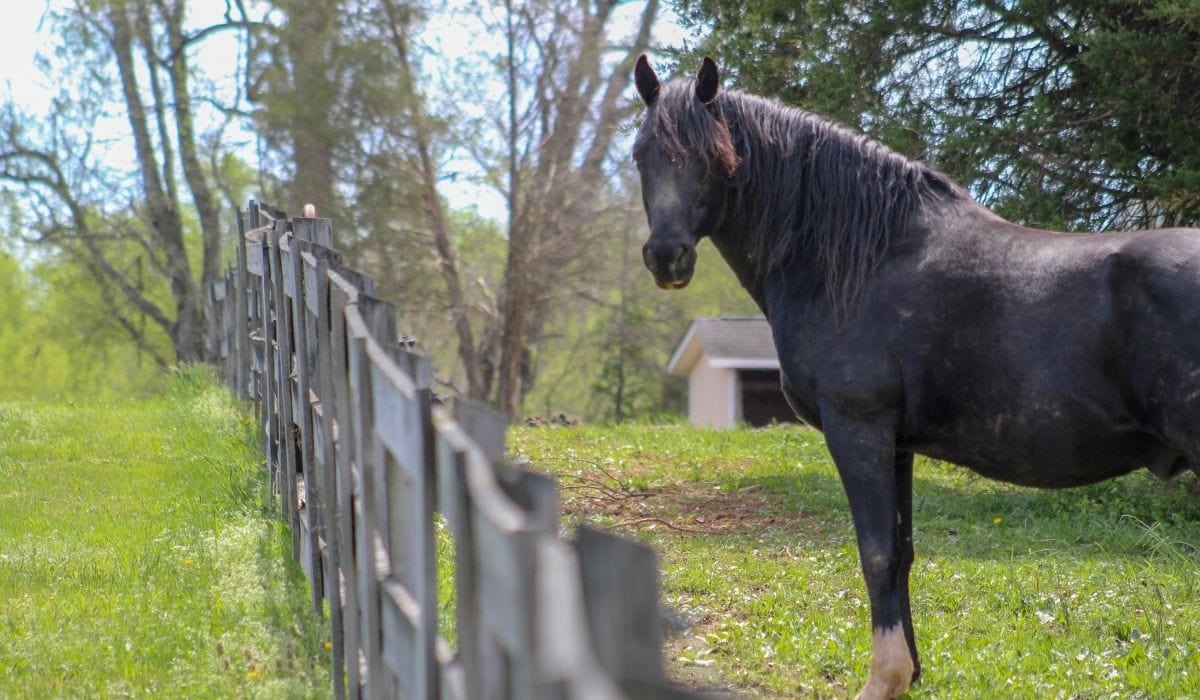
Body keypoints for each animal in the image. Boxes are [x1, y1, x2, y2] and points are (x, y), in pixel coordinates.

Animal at [632, 55, 1200, 700]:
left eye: (714, 156)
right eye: (641, 154)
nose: (667, 257)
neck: (858, 257)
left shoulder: (859, 429)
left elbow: (876, 553)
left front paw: (884, 678)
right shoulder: (897, 444)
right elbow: (901, 551)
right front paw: (909, 673)